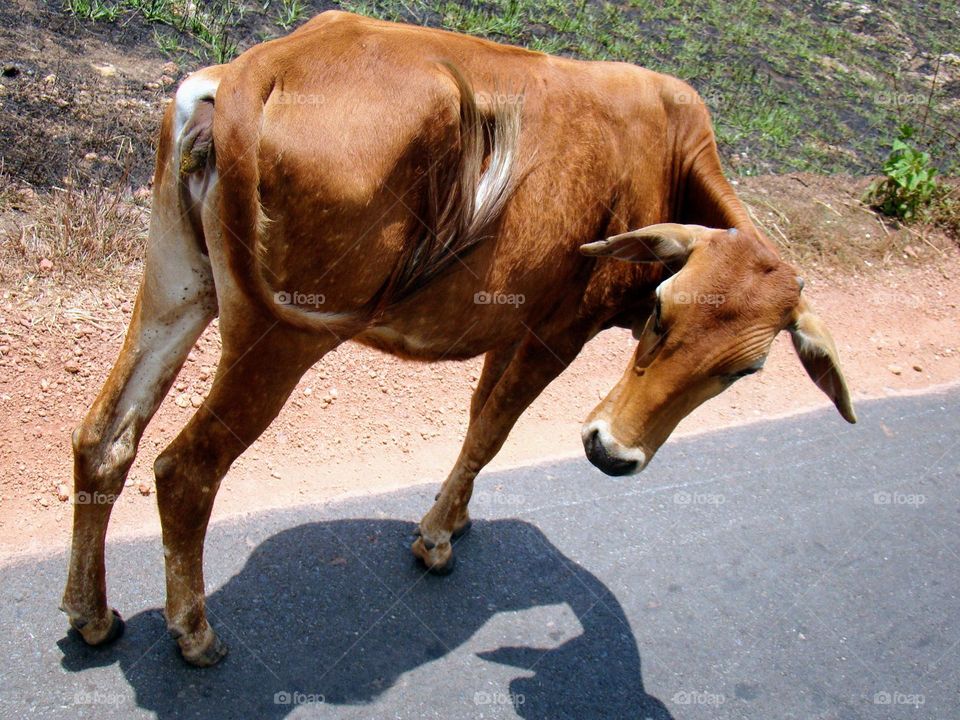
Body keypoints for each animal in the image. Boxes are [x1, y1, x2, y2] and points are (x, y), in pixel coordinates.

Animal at [61, 10, 855, 667]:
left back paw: (92, 615)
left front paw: (457, 517)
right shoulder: (557, 332)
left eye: (745, 371)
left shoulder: (514, 325)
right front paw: (437, 539)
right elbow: (494, 431)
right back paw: (195, 635)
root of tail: (268, 62)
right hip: (279, 337)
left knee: (104, 438)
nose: (613, 453)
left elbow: (479, 422)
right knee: (185, 470)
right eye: (661, 311)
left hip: (178, 285)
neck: (667, 158)